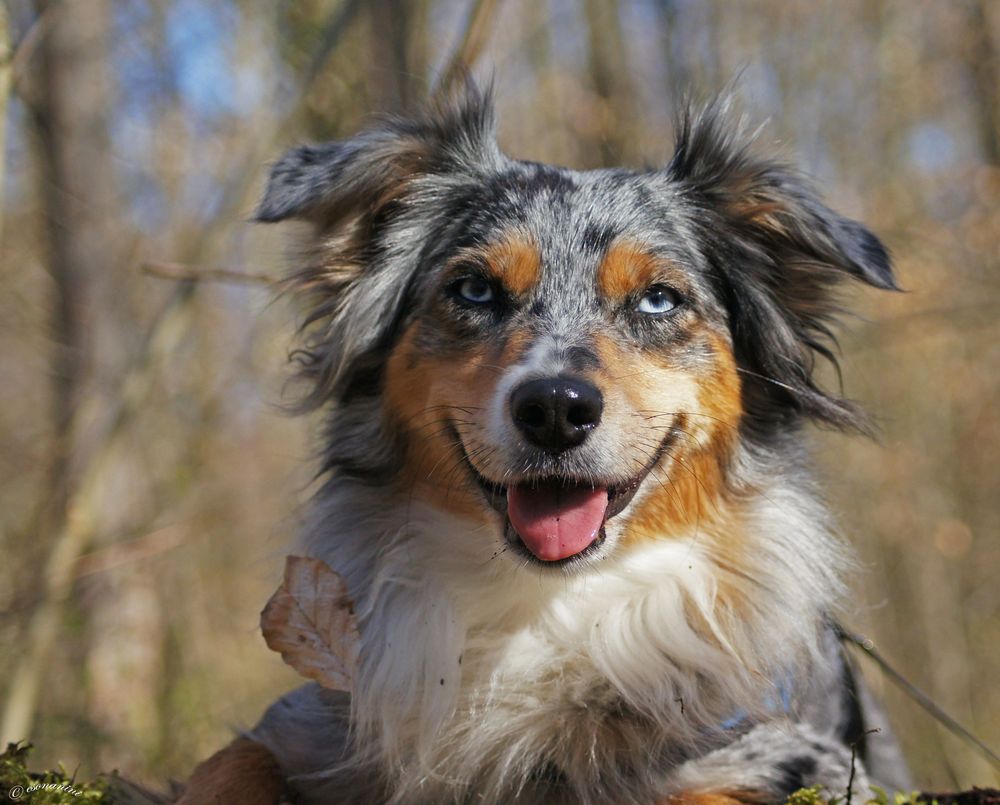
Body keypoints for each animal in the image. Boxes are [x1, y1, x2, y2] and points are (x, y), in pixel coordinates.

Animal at [193, 83, 916, 804]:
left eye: (658, 300)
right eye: (474, 289)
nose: (555, 410)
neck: (545, 605)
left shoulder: (790, 755)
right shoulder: (320, 724)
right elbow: (229, 763)